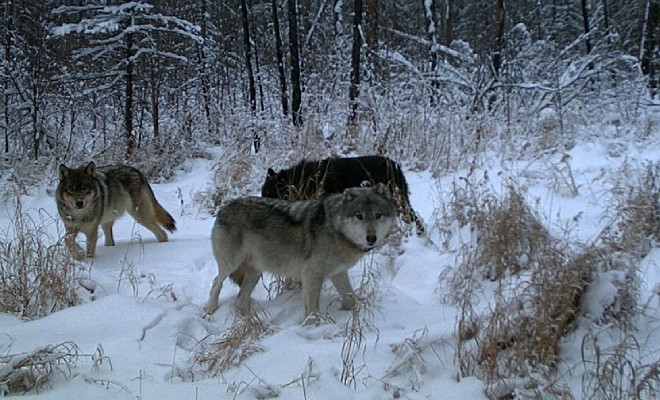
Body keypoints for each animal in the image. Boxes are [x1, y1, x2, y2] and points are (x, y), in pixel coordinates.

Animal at [204, 184, 398, 318]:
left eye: (378, 215)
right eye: (359, 216)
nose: (371, 238)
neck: (336, 230)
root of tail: (224, 207)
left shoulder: (338, 273)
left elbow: (351, 298)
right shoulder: (311, 275)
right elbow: (312, 309)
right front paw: (313, 327)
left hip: (255, 273)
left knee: (240, 300)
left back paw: (248, 321)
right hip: (231, 265)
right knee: (216, 282)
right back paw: (210, 311)